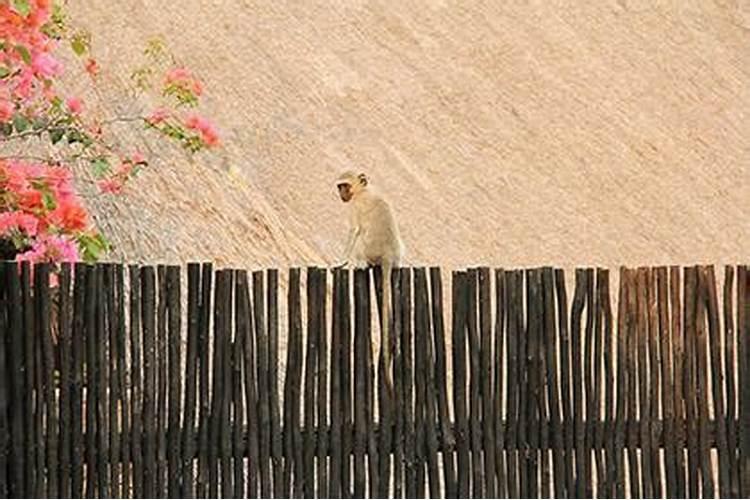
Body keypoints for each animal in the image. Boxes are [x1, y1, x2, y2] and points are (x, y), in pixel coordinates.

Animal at [336, 170, 406, 392]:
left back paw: (358, 264)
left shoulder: (355, 207)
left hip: (368, 250)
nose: (341, 194)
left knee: (359, 239)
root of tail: (388, 256)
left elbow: (353, 230)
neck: (363, 190)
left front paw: (340, 262)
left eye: (345, 186)